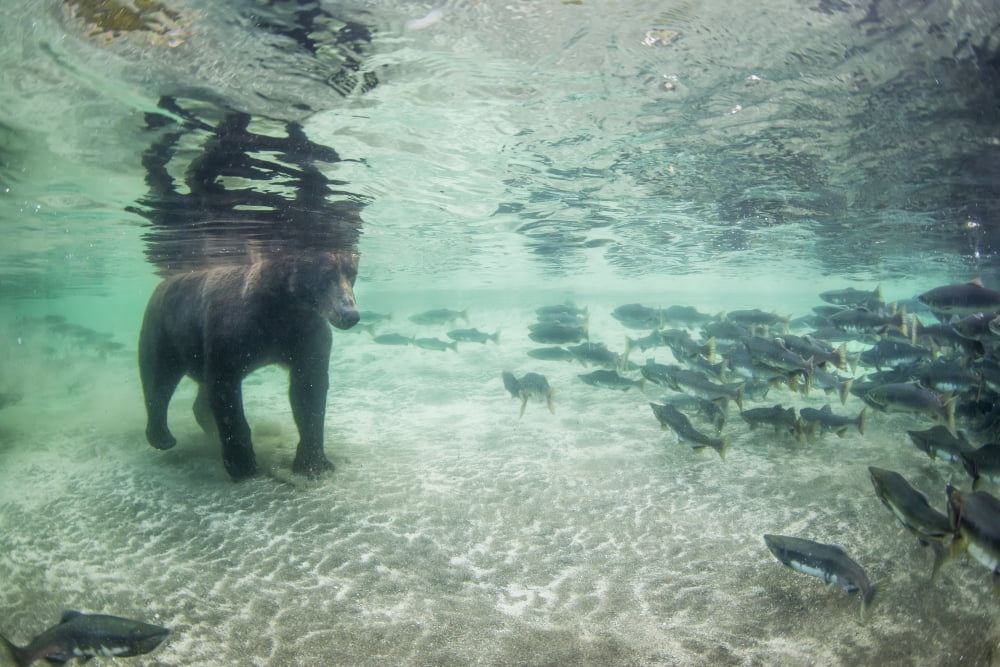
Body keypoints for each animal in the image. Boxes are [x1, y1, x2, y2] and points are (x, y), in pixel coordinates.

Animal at [138, 250, 360, 480]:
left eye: (352, 273)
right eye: (327, 274)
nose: (350, 315)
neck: (280, 308)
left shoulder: (306, 335)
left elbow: (309, 390)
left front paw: (314, 464)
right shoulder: (232, 332)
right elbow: (225, 390)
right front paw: (244, 465)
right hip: (163, 328)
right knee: (158, 376)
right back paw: (162, 437)